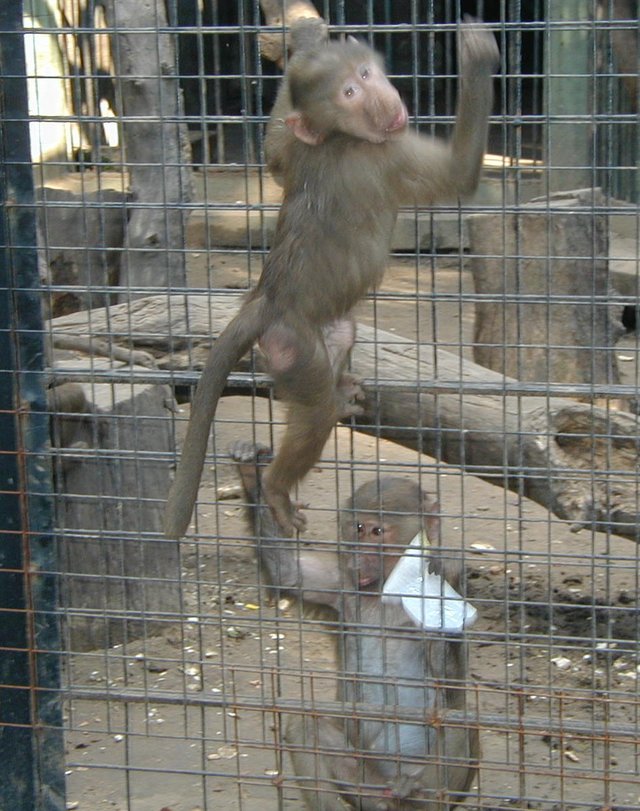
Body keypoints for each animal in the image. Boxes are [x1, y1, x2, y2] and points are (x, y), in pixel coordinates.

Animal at [164, 19, 499, 539]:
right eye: (349, 92)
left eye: (364, 73)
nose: (383, 99)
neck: (341, 136)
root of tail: (266, 299)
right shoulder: (387, 153)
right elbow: (460, 174)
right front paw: (477, 57)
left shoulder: (301, 147)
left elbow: (275, 157)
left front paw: (304, 36)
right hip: (290, 346)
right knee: (313, 409)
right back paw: (275, 486)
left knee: (342, 335)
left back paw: (340, 392)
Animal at [230, 440, 479, 810]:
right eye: (358, 528)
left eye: (378, 531)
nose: (360, 554)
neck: (384, 589)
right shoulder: (342, 579)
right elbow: (288, 573)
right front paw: (251, 470)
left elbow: (450, 686)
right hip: (363, 783)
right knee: (307, 725)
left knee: (460, 723)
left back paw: (414, 791)